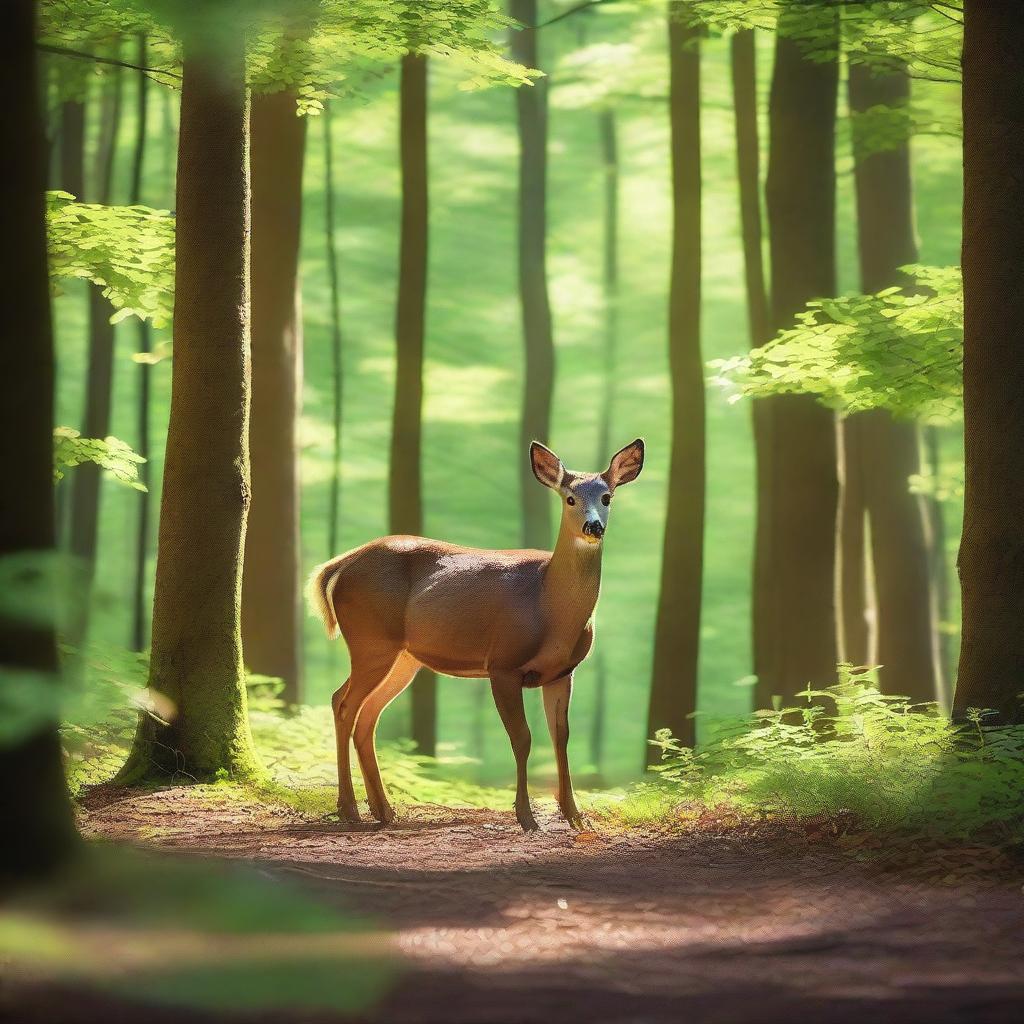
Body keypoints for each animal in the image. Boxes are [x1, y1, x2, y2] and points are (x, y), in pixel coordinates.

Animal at [303, 436, 643, 827]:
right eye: (570, 498)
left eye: (607, 497)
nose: (593, 527)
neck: (549, 609)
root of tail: (340, 564)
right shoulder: (502, 664)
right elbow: (522, 738)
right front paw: (526, 817)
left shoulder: (563, 672)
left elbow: (561, 738)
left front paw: (575, 817)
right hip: (370, 641)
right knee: (343, 705)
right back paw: (350, 810)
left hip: (402, 657)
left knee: (365, 715)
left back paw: (384, 811)